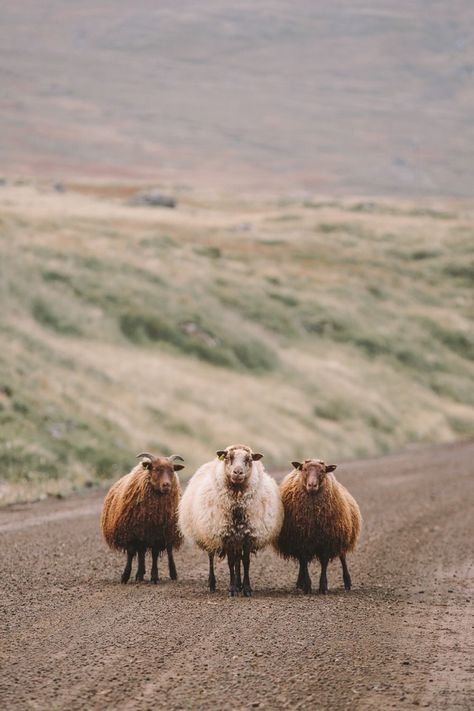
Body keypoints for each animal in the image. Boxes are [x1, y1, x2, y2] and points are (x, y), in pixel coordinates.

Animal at [101, 454, 184, 588]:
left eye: (172, 470)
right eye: (155, 469)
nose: (166, 485)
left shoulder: (157, 535)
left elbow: (155, 554)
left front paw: (154, 577)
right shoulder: (131, 533)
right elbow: (131, 554)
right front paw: (125, 576)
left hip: (169, 532)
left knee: (169, 551)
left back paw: (173, 574)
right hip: (141, 534)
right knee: (141, 552)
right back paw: (139, 575)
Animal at [177, 444, 282, 596]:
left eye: (249, 459)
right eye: (228, 457)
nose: (237, 472)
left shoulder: (248, 535)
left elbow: (245, 562)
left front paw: (246, 588)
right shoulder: (225, 535)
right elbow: (231, 562)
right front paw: (232, 589)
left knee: (239, 559)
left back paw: (239, 584)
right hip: (209, 532)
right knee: (211, 556)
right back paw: (212, 584)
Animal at [276, 458, 362, 592]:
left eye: (322, 471)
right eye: (304, 469)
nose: (312, 485)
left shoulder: (326, 540)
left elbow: (324, 562)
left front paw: (323, 586)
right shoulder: (301, 540)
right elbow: (304, 561)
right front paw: (307, 586)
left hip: (342, 536)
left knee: (343, 558)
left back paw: (347, 583)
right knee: (302, 562)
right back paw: (300, 584)